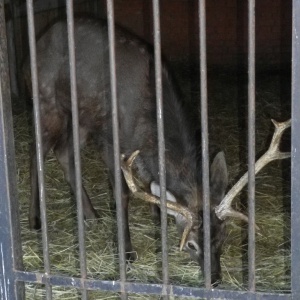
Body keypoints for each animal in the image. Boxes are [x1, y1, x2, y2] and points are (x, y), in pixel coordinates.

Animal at [23, 17, 290, 288]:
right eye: (191, 244)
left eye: (223, 236)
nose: (214, 279)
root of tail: (41, 38)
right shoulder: (111, 139)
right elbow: (122, 194)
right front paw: (126, 252)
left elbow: (155, 186)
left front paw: (157, 222)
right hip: (47, 101)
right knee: (37, 152)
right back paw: (35, 219)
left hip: (82, 117)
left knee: (64, 153)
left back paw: (92, 216)